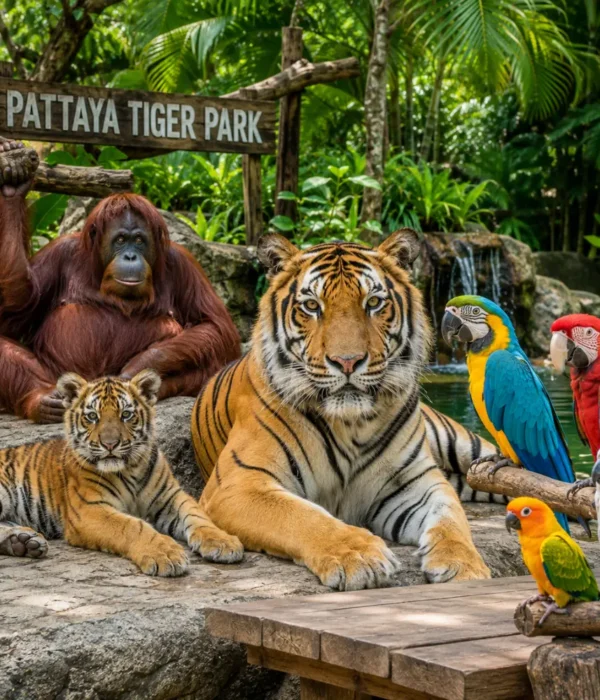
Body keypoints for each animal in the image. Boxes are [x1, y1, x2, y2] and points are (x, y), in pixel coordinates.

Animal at [0, 369, 242, 575]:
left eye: (126, 414)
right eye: (92, 416)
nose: (110, 444)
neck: (130, 470)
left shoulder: (171, 497)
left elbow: (198, 516)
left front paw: (223, 542)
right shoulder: (90, 509)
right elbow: (132, 526)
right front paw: (165, 554)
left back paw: (24, 542)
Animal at [191, 229, 495, 591]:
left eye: (373, 303)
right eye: (311, 306)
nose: (347, 361)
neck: (352, 424)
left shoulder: (417, 482)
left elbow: (450, 517)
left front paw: (464, 564)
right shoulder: (239, 484)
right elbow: (303, 517)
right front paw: (360, 557)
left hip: (467, 447)